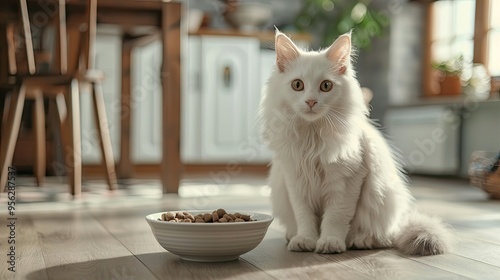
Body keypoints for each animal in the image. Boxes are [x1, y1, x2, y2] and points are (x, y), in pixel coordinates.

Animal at [260, 30, 456, 256]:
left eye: (325, 86)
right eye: (297, 85)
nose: (311, 102)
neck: (313, 137)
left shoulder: (346, 181)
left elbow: (335, 218)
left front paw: (330, 242)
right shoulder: (295, 181)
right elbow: (304, 217)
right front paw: (305, 240)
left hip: (384, 199)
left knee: (384, 238)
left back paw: (360, 240)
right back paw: (292, 236)